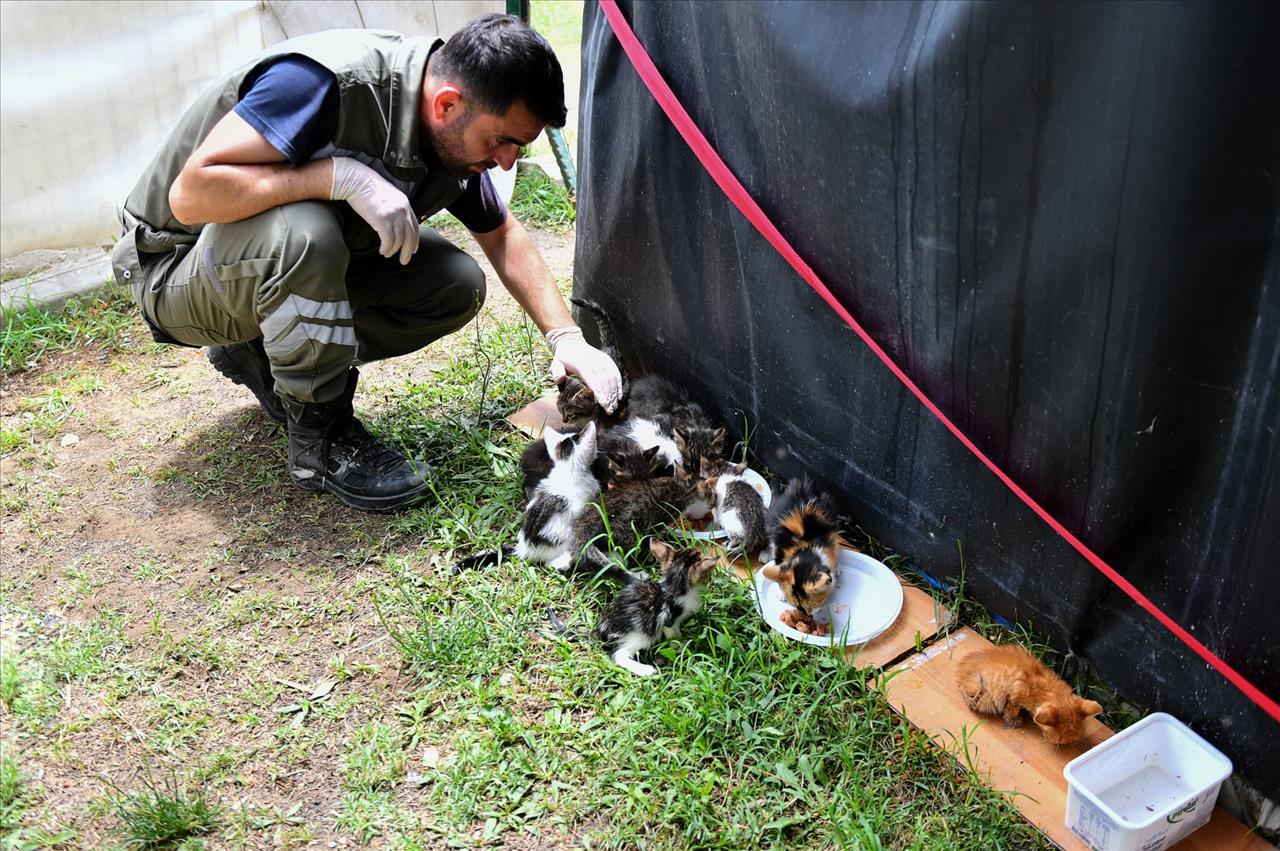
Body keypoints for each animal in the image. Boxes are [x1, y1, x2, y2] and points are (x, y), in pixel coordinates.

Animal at [596, 540, 721, 675]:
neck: (672, 586)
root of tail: (604, 627)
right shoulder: (669, 620)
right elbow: (673, 636)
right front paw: (681, 645)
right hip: (643, 635)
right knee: (619, 655)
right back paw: (646, 670)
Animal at [757, 478, 839, 611]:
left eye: (816, 603)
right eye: (797, 606)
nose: (807, 614)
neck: (806, 548)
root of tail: (802, 485)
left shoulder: (831, 537)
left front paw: (836, 568)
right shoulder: (780, 545)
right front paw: (781, 593)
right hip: (771, 520)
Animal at [957, 644, 1105, 742]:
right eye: (1058, 742)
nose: (1062, 745)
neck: (1045, 690)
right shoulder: (1016, 689)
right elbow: (1012, 708)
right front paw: (1013, 720)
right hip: (978, 687)